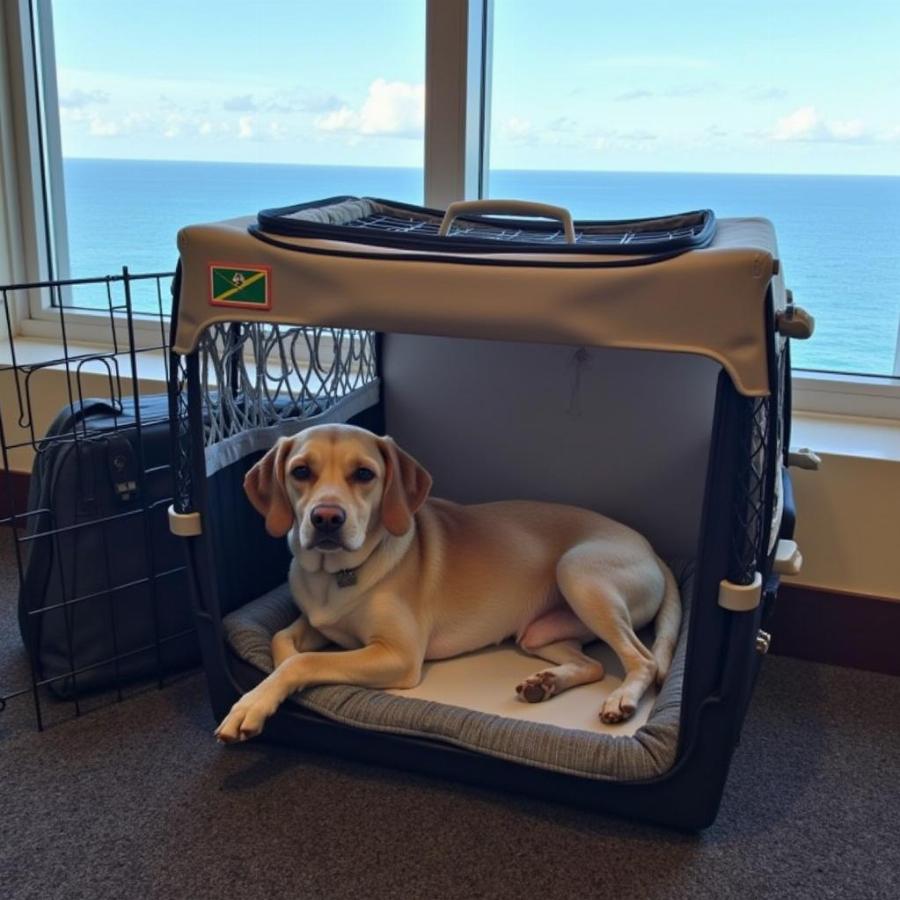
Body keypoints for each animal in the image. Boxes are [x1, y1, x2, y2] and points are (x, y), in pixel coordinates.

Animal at [216, 426, 684, 740]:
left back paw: (621, 699)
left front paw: (254, 701)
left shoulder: (399, 655)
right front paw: (271, 681)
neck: (337, 576)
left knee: (642, 659)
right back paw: (545, 684)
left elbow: (305, 662)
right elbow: (282, 642)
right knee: (592, 664)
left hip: (578, 571)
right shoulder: (317, 622)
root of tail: (652, 550)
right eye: (300, 471)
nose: (326, 518)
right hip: (539, 633)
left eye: (364, 474)